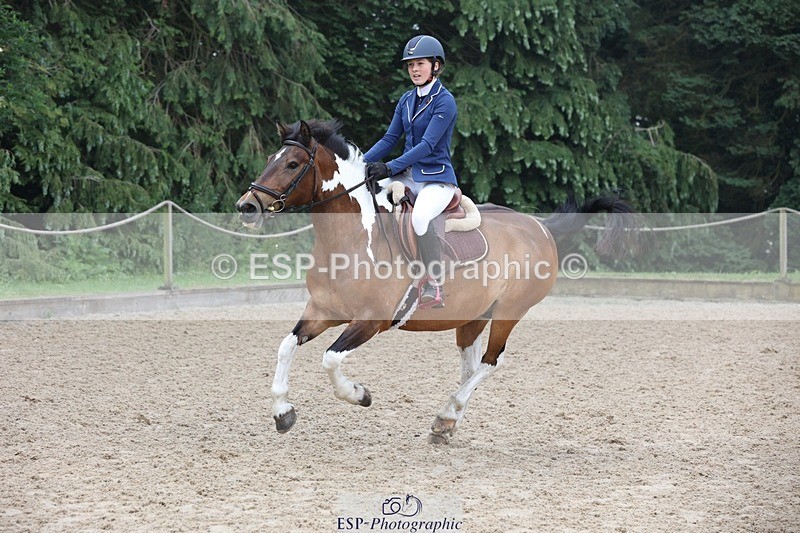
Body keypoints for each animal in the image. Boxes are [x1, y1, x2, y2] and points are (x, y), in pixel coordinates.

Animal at [236, 119, 635, 444]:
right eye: (270, 158)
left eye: (292, 164)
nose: (246, 206)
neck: (353, 237)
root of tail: (540, 226)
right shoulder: (323, 311)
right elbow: (286, 346)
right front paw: (283, 413)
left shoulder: (370, 320)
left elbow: (331, 359)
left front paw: (360, 394)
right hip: (473, 315)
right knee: (471, 364)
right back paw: (448, 423)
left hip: (510, 311)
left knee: (491, 362)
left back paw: (445, 415)